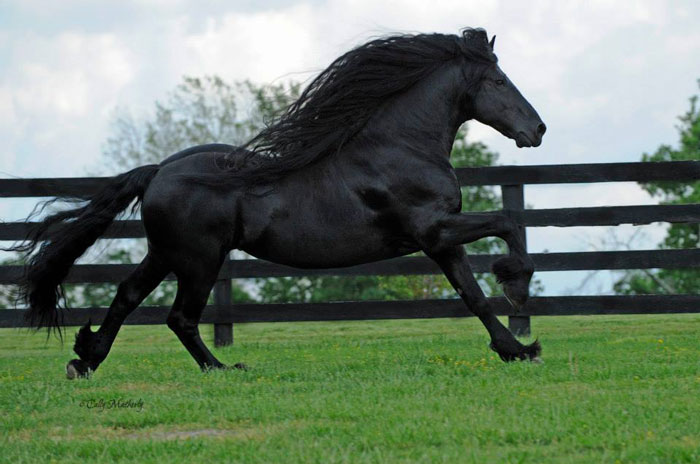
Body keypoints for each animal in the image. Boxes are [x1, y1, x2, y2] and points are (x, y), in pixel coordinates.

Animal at [13, 28, 546, 378]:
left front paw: (516, 349)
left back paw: (85, 359)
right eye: (499, 82)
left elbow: (472, 294)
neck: (399, 146)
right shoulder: (434, 230)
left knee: (127, 297)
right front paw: (517, 289)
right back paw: (224, 368)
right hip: (199, 260)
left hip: (165, 254)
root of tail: (159, 171)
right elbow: (507, 221)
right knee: (179, 317)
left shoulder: (440, 240)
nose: (537, 129)